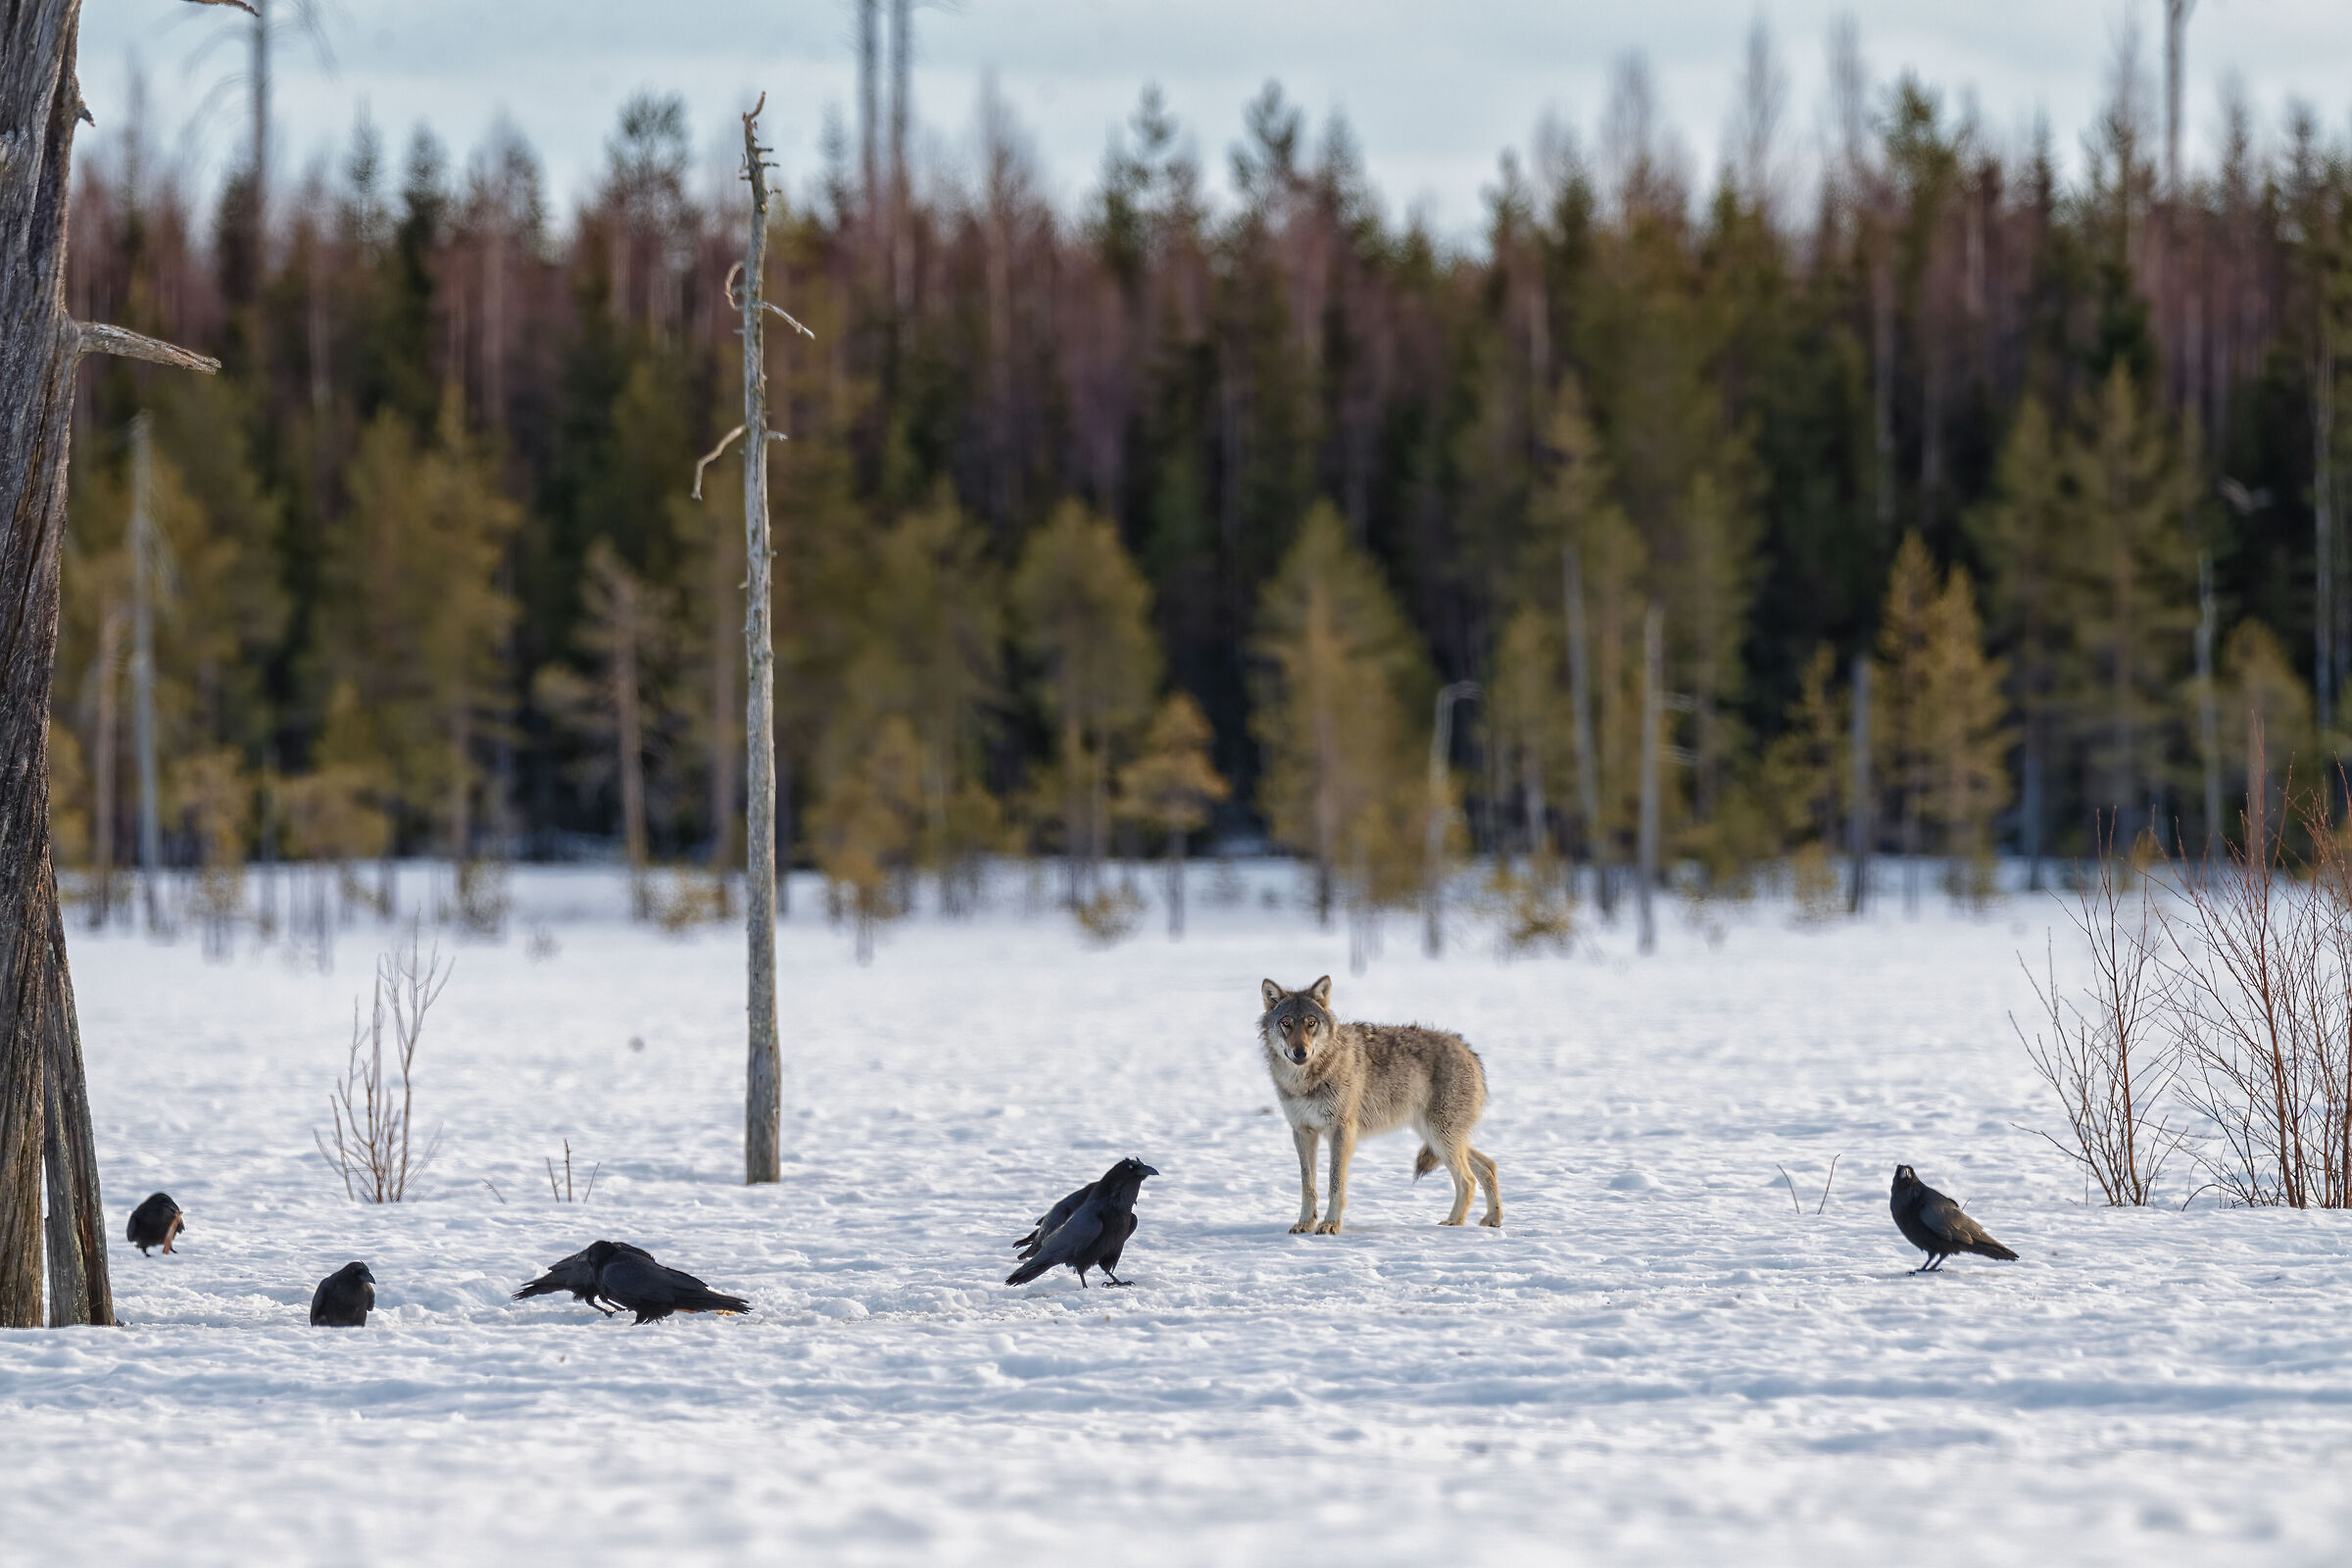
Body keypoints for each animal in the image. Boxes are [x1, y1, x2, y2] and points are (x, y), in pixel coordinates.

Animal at [1258, 976, 1502, 1234]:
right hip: (1437, 1137)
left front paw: (1331, 1224)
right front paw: (1305, 1224)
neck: (1306, 1080)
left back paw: (1454, 1222)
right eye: (1286, 1023)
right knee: (1488, 1165)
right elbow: (1308, 1185)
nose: (1300, 1052)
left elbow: (1335, 1183)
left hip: (1440, 1138)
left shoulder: (1341, 1131)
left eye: (1311, 1023)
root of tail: (1468, 1050)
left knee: (1467, 1180)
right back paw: (1492, 1219)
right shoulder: (1303, 1132)